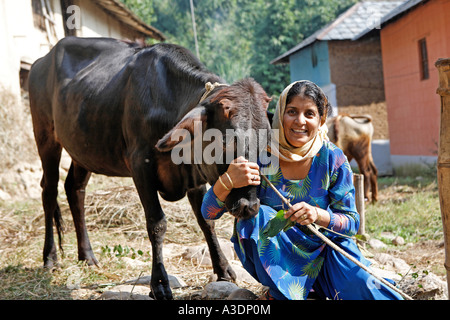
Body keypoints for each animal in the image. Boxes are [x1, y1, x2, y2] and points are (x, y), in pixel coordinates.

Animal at [29, 37, 270, 300]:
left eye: (267, 143)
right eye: (225, 141)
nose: (249, 206)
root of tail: (42, 60)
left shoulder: (192, 174)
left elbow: (206, 221)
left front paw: (223, 268)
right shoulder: (140, 165)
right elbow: (156, 223)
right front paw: (160, 283)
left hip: (83, 148)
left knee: (75, 189)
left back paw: (88, 256)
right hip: (45, 136)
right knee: (49, 190)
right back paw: (50, 258)